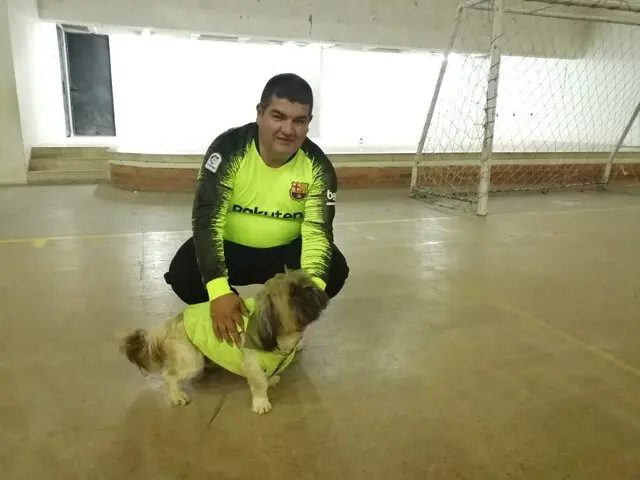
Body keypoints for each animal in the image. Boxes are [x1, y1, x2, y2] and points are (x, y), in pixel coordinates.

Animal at [118, 268, 329, 414]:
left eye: (307, 281)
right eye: (292, 293)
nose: (311, 288)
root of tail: (174, 321)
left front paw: (273, 379)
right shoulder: (252, 365)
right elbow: (259, 383)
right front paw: (261, 402)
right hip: (191, 361)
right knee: (168, 376)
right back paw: (177, 395)